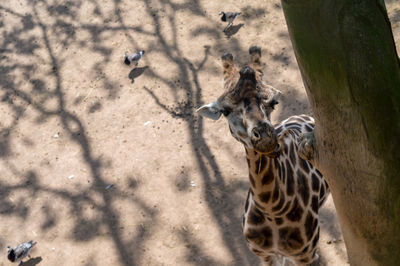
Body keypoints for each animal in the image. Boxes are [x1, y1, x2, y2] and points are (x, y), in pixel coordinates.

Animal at [195, 46, 330, 264]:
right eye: (225, 110)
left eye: (273, 102)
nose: (265, 137)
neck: (273, 209)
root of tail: (305, 116)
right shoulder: (264, 254)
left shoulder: (306, 256)